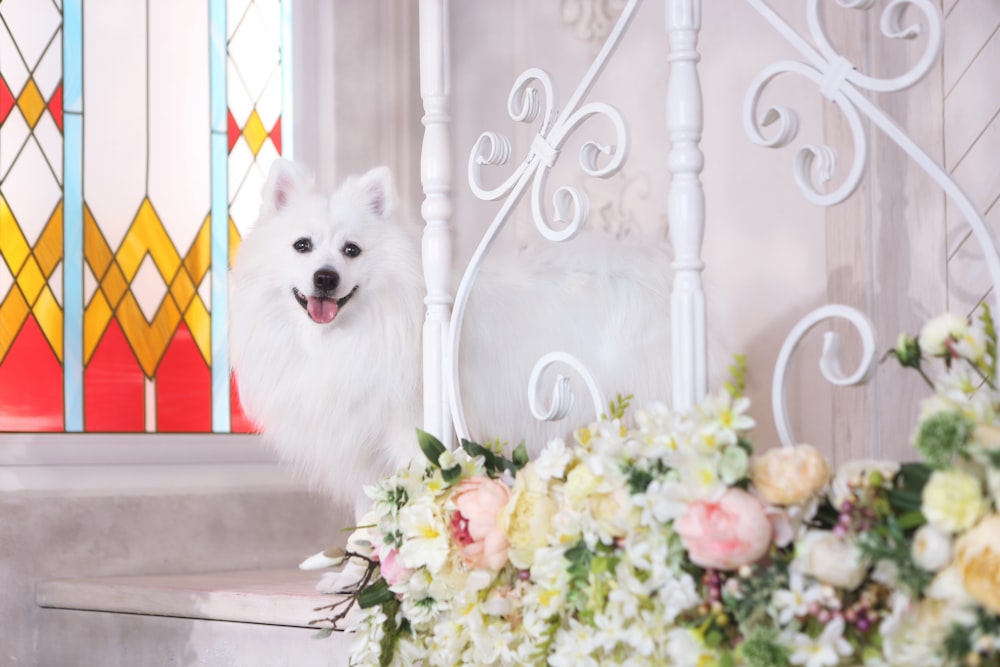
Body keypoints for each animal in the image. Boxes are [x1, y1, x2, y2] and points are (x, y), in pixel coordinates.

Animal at [230, 162, 676, 516]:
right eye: (301, 246)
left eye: (351, 250)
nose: (325, 277)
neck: (343, 337)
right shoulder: (361, 448)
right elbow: (365, 516)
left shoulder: (410, 432)